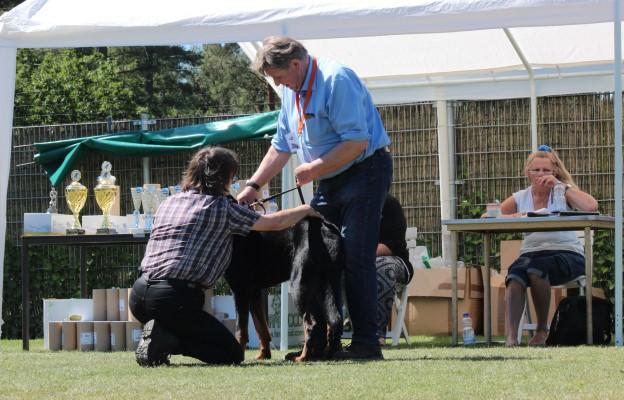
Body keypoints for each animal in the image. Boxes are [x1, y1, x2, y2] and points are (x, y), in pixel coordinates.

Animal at [224, 217, 344, 360]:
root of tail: (325, 227)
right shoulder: (254, 292)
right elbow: (261, 327)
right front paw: (264, 355)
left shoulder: (240, 289)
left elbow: (240, 330)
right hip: (330, 283)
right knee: (334, 321)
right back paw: (325, 354)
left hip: (299, 286)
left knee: (312, 324)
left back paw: (303, 357)